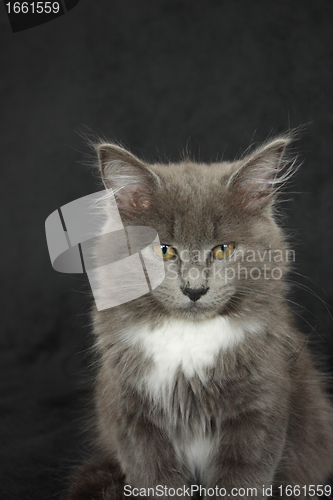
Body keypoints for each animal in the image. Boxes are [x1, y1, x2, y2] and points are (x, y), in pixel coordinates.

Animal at [66, 137, 332, 500]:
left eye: (222, 250)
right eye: (164, 250)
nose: (195, 289)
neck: (189, 338)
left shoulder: (259, 409)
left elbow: (241, 482)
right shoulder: (133, 415)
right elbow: (156, 481)